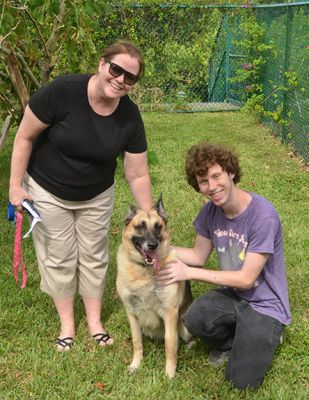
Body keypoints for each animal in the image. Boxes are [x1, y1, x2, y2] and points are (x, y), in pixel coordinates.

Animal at [116, 196, 191, 378]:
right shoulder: (131, 313)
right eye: (140, 226)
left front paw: (169, 374)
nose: (152, 245)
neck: (145, 271)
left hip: (184, 325)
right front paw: (136, 365)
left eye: (158, 227)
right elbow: (136, 342)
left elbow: (170, 345)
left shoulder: (170, 314)